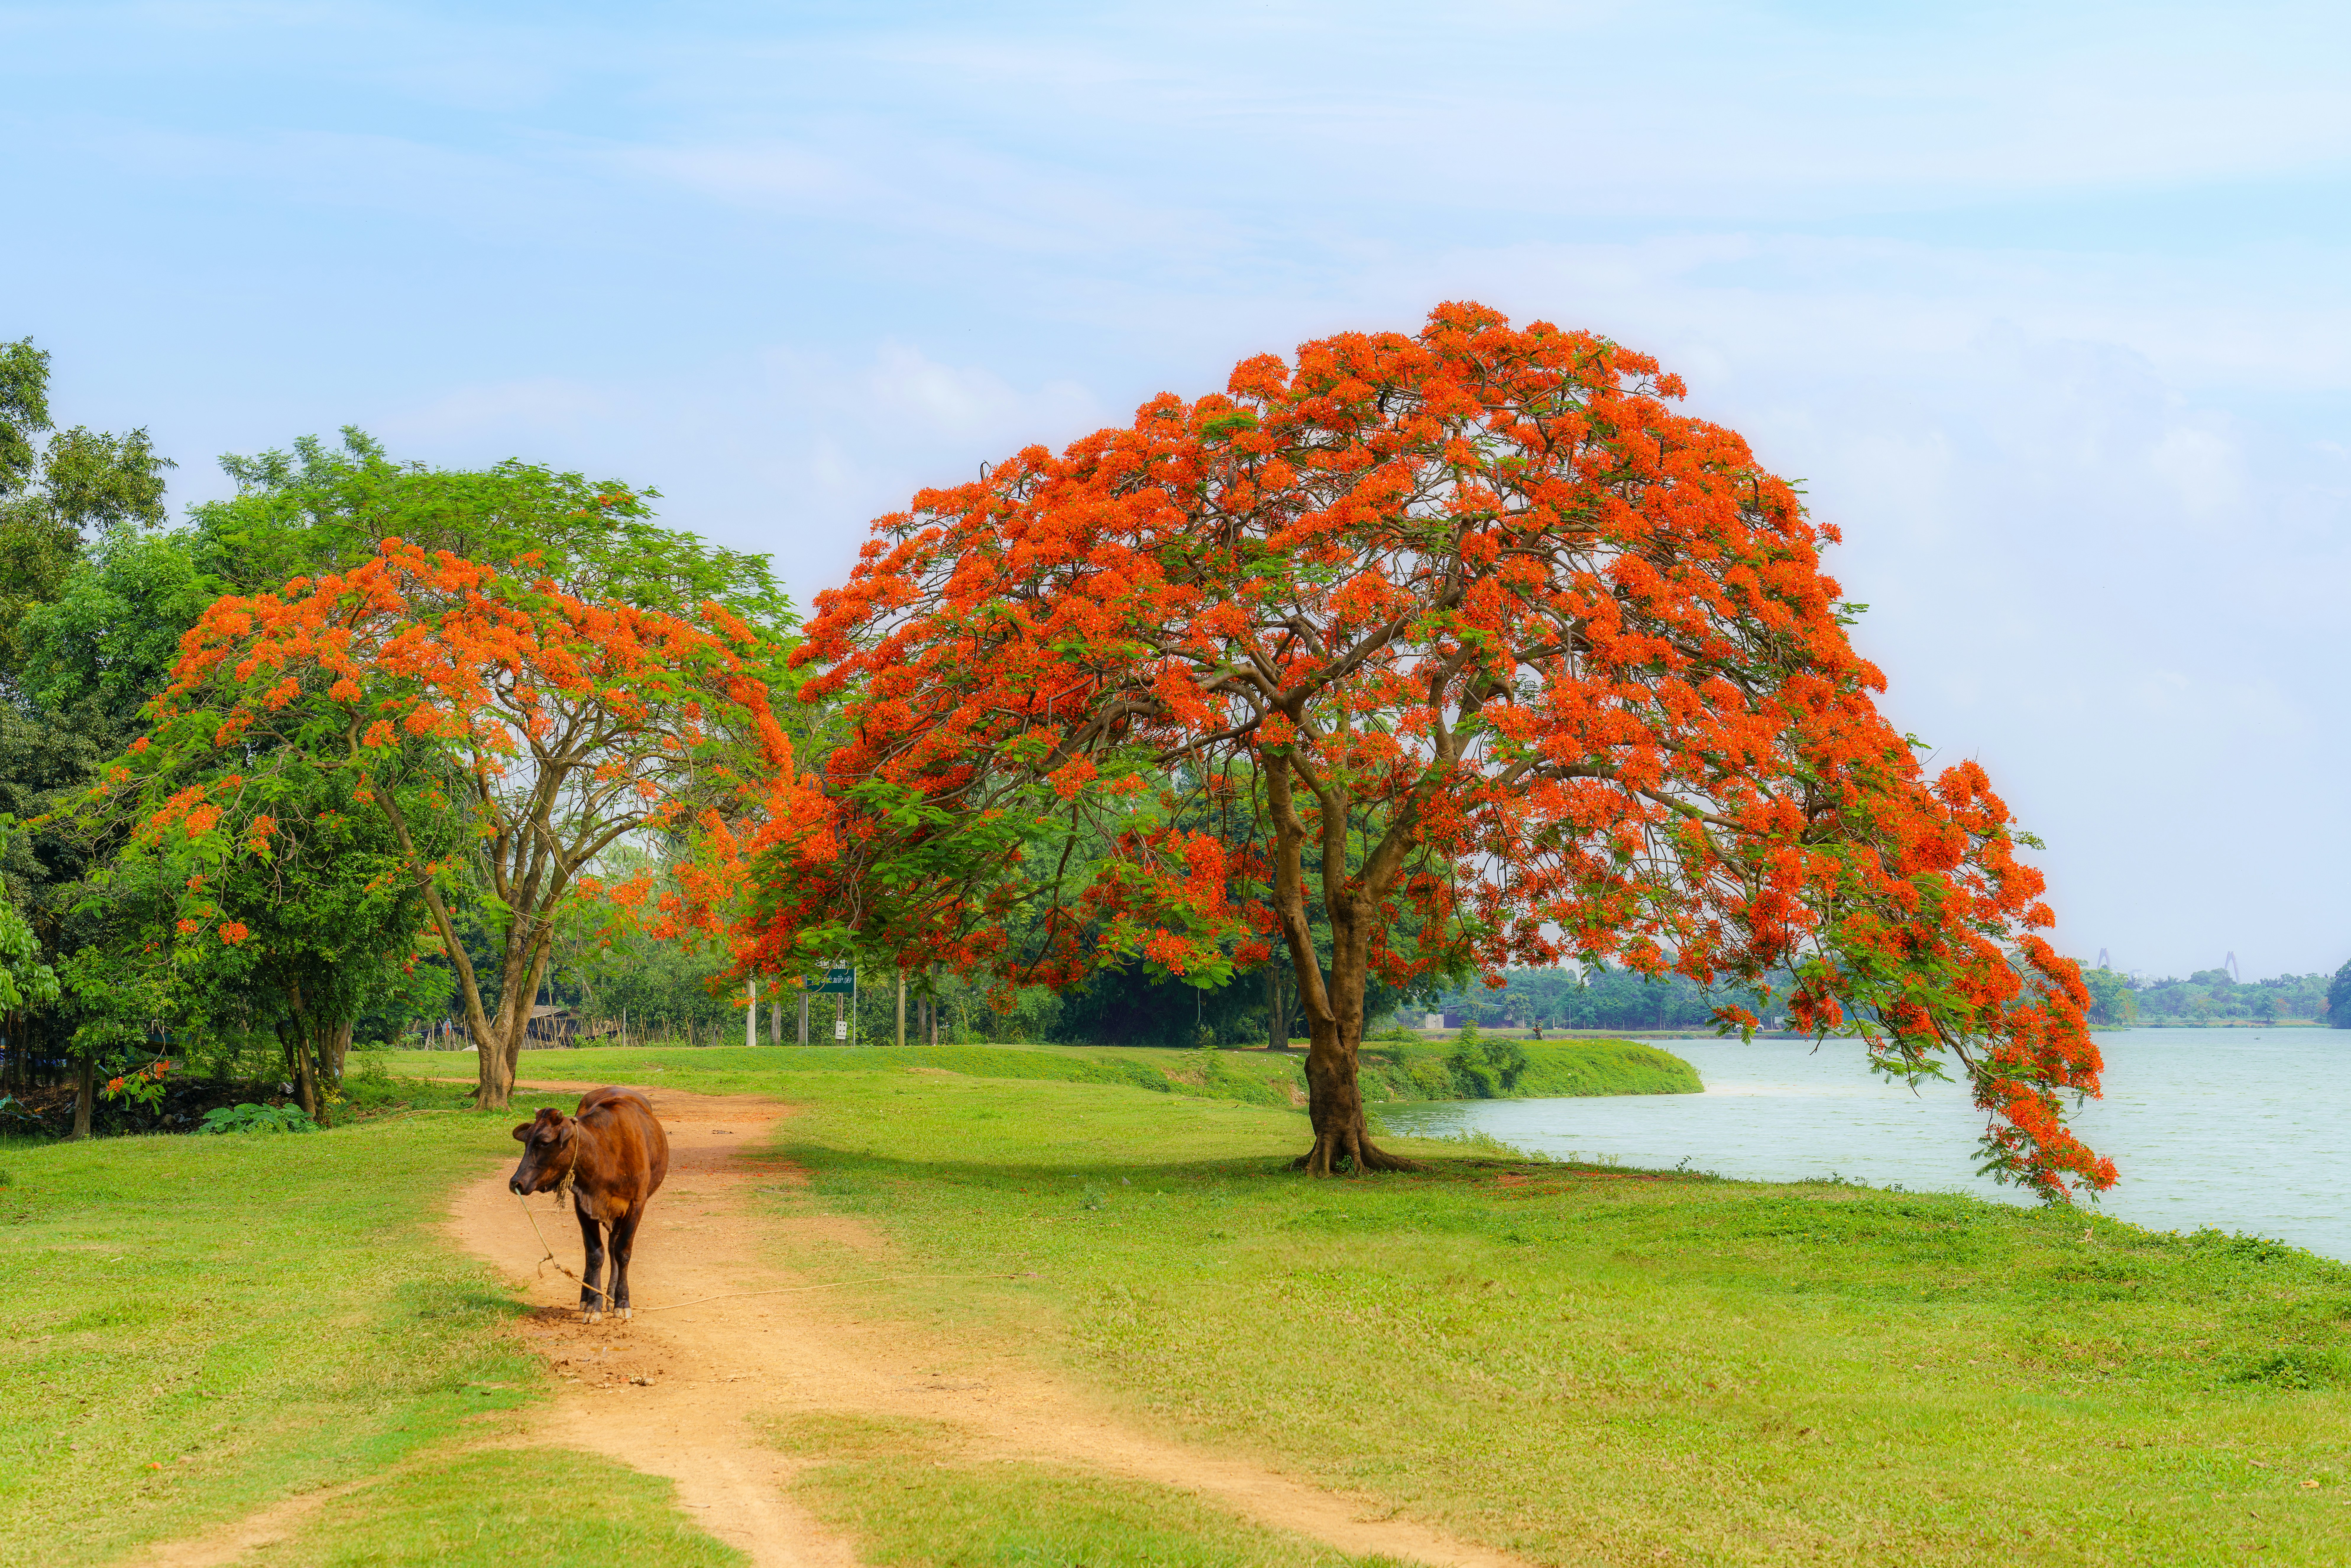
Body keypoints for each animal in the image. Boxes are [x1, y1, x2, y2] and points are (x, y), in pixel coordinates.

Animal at [510, 1087, 671, 1323]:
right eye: (526, 1141)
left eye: (545, 1142)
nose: (516, 1182)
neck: (605, 1153)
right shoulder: (583, 1204)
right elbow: (595, 1254)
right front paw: (593, 1305)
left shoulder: (636, 1204)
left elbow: (623, 1252)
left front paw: (622, 1303)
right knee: (595, 1251)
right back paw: (588, 1298)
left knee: (614, 1247)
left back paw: (612, 1297)